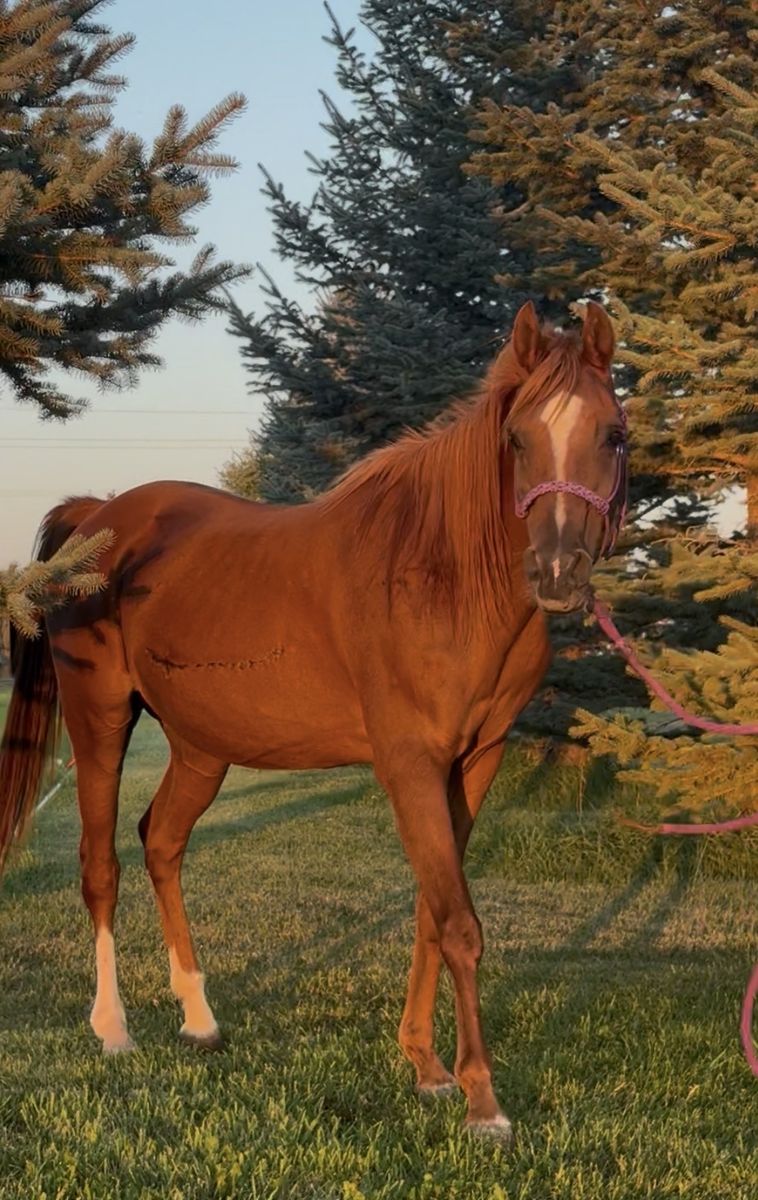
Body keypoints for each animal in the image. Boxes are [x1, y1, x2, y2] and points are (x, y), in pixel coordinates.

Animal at [0, 300, 627, 1142]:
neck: (443, 577)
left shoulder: (477, 760)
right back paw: (114, 1029)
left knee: (161, 842)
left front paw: (428, 1069)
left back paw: (200, 1017)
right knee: (101, 868)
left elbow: (433, 912)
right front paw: (483, 1102)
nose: (558, 572)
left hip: (201, 749)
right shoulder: (410, 764)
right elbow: (459, 923)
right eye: (519, 438)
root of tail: (98, 517)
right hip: (100, 721)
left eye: (612, 434)